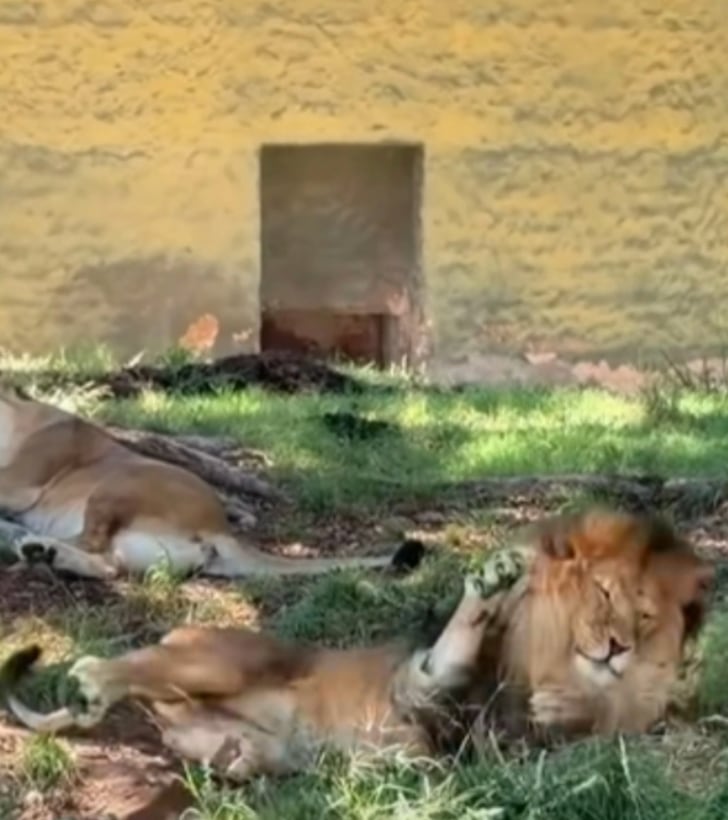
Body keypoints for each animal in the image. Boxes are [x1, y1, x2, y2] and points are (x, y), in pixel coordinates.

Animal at [0, 388, 421, 579]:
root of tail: (219, 526)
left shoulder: (22, 483)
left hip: (117, 485)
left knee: (93, 546)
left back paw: (34, 547)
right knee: (108, 565)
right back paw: (41, 552)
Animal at [1, 507, 713, 780]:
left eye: (645, 617)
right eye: (603, 594)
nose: (617, 647)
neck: (552, 661)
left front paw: (572, 708)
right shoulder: (424, 686)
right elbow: (452, 651)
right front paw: (495, 579)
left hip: (253, 748)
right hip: (214, 657)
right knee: (123, 664)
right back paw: (92, 683)